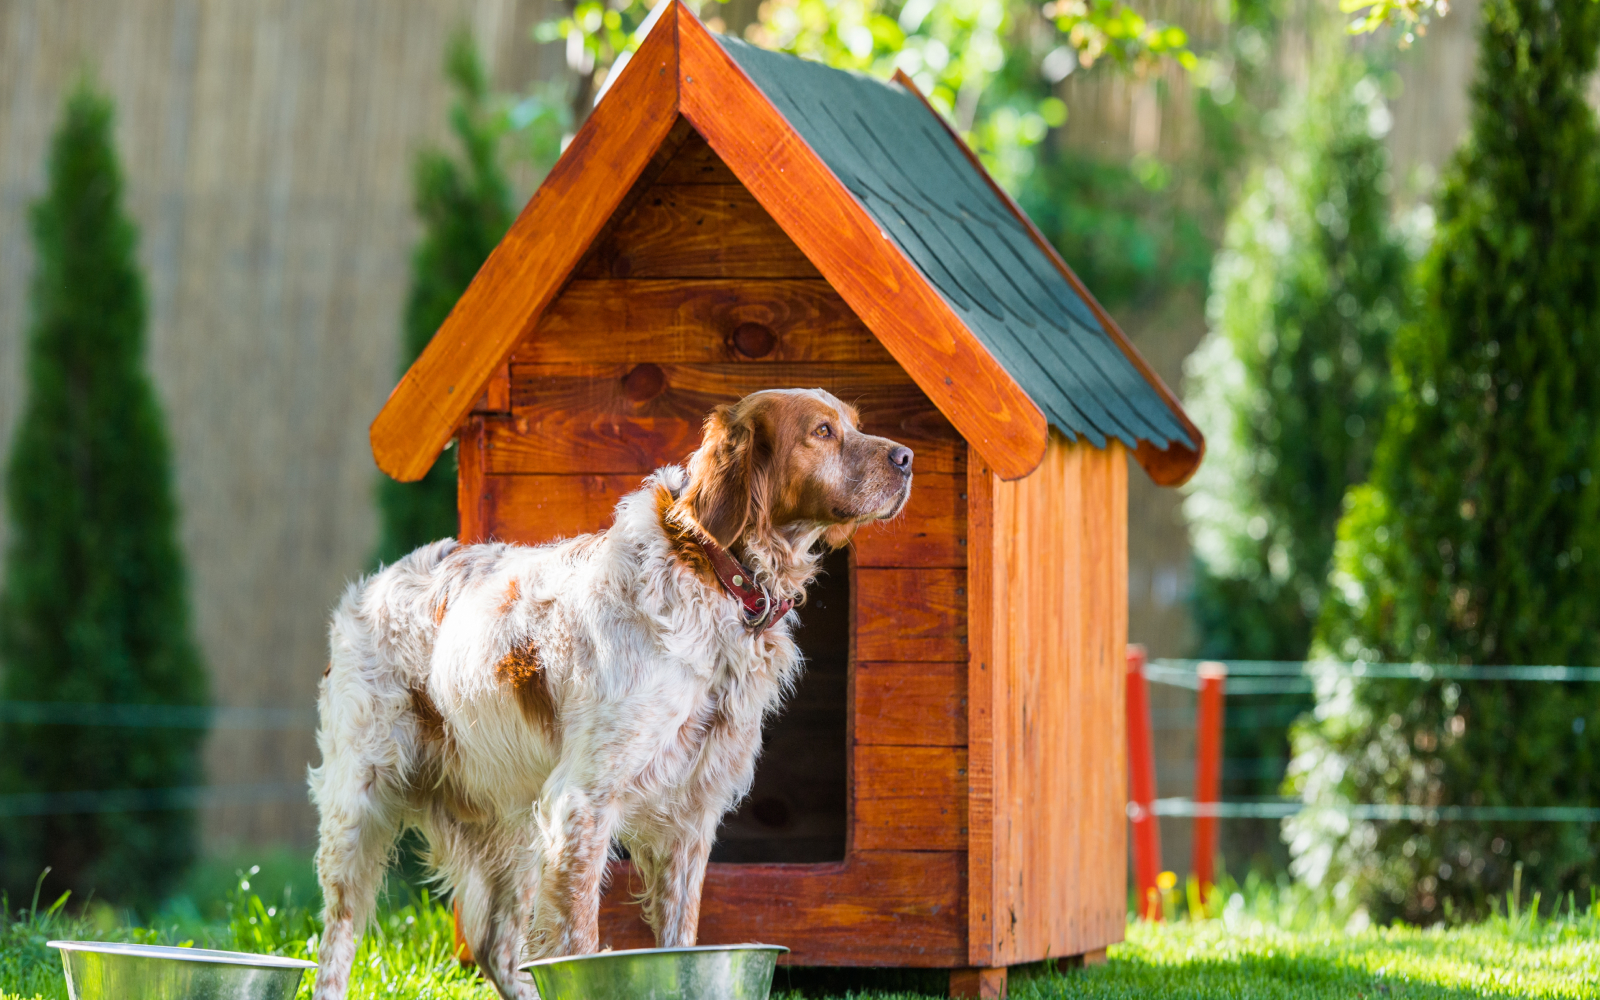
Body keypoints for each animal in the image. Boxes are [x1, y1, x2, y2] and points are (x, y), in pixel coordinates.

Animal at [308, 388, 915, 998]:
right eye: (822, 431)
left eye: (853, 423)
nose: (908, 458)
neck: (717, 578)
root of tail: (370, 588)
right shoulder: (583, 801)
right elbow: (578, 941)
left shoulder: (689, 817)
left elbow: (680, 941)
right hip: (358, 809)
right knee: (336, 943)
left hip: (511, 824)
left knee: (494, 946)